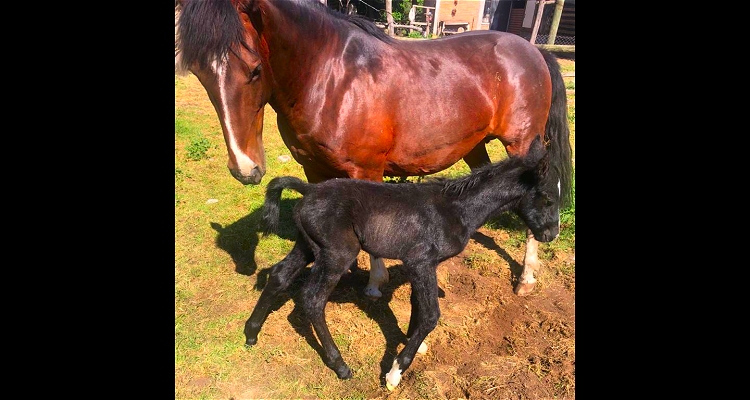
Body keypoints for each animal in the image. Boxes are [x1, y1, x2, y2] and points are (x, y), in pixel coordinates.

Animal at [176, 0, 576, 298]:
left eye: (255, 70)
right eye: (199, 74)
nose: (245, 169)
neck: (332, 78)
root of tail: (534, 51)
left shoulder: (366, 170)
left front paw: (374, 283)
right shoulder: (313, 170)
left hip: (523, 143)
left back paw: (526, 277)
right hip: (475, 145)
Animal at [244, 136, 560, 390]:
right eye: (547, 199)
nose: (551, 234)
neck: (456, 209)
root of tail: (308, 190)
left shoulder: (422, 264)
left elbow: (416, 303)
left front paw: (411, 342)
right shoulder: (420, 261)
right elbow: (431, 314)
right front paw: (395, 372)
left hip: (309, 246)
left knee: (280, 275)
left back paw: (251, 332)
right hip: (337, 253)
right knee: (312, 299)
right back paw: (340, 365)